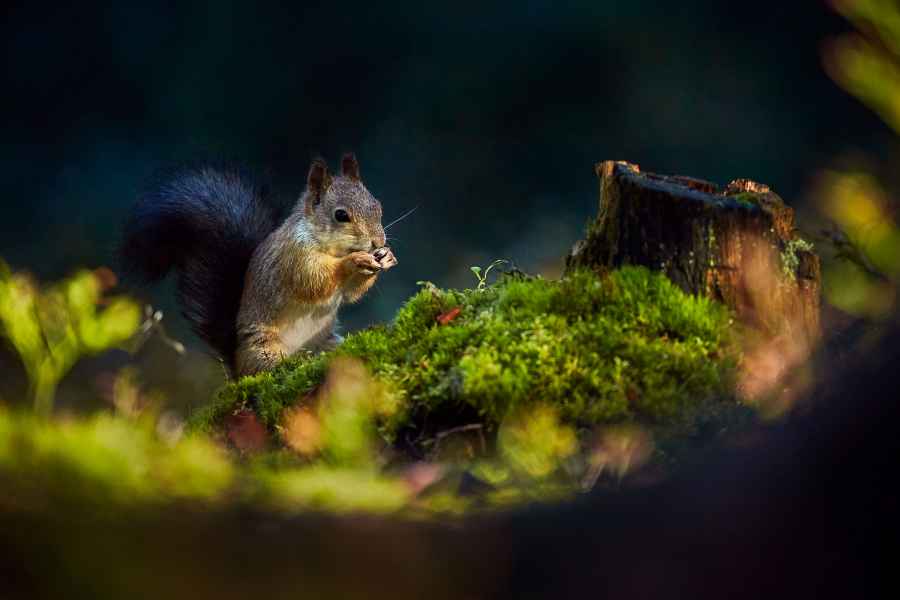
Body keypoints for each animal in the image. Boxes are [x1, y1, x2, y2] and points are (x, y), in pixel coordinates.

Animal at [120, 153, 397, 377]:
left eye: (377, 205)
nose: (378, 242)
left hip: (326, 340)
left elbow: (350, 294)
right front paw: (353, 261)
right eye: (341, 215)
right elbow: (315, 282)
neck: (327, 245)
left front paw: (386, 258)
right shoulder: (293, 259)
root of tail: (236, 361)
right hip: (264, 348)